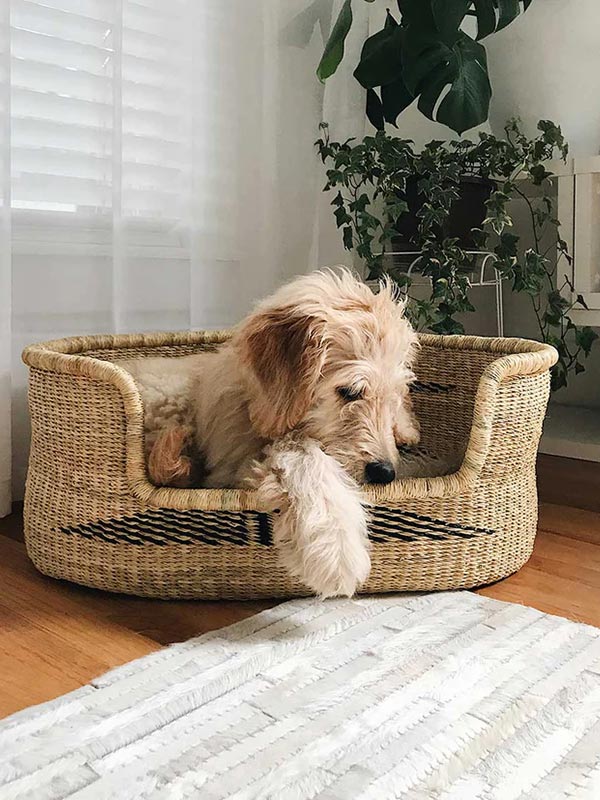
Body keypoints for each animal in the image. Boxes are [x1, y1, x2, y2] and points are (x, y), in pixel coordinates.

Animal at [120, 272, 422, 596]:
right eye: (350, 391)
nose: (384, 472)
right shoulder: (232, 468)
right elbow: (300, 451)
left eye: (394, 396)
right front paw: (336, 546)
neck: (253, 403)